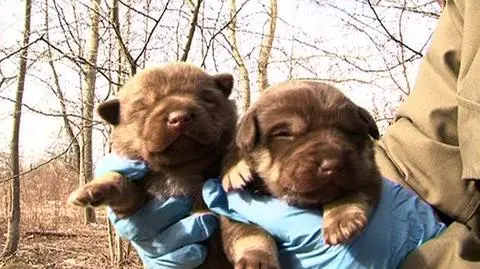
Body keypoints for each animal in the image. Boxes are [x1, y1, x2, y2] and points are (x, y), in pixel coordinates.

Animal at [68, 62, 238, 266]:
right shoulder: (139, 202)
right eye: (143, 107)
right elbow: (122, 184)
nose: (179, 117)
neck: (179, 172)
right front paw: (92, 189)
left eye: (206, 98)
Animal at [221, 80, 382, 264]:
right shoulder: (233, 213)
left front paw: (342, 219)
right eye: (284, 134)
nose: (332, 164)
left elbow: (350, 191)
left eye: (351, 132)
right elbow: (250, 233)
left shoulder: (367, 171)